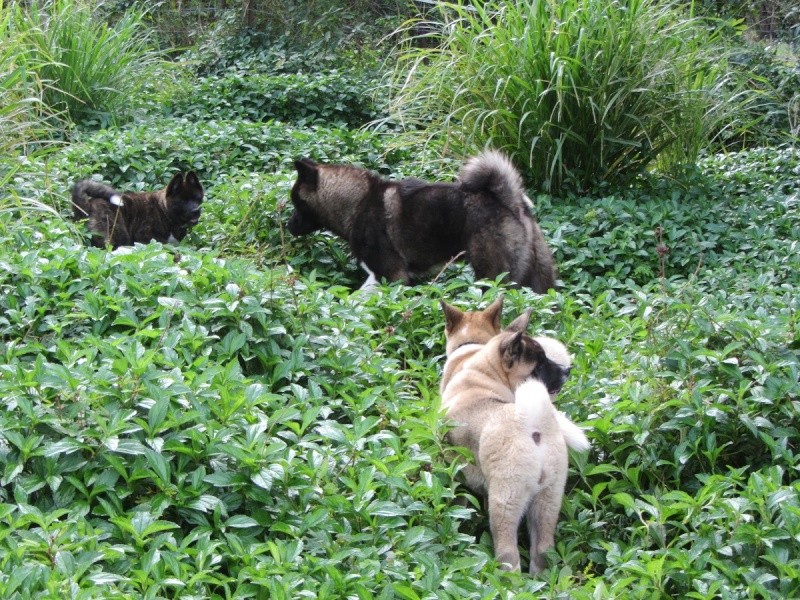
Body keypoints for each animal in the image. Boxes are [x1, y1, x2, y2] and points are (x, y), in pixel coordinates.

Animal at [288, 149, 556, 290]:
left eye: (296, 202)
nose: (289, 227)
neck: (358, 201)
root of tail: (509, 201)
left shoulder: (391, 276)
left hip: (491, 276)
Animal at [438, 298, 588, 576]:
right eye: (539, 365)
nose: (567, 370)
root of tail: (534, 427)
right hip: (548, 501)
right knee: (542, 552)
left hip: (505, 504)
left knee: (509, 555)